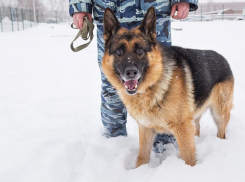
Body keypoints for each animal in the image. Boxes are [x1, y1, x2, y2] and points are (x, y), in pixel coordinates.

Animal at [101, 7, 234, 168]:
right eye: (119, 52)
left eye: (140, 51)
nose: (131, 72)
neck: (152, 85)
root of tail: (222, 58)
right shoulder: (146, 128)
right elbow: (142, 156)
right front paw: (139, 170)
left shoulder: (182, 128)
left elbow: (188, 157)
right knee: (197, 128)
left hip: (220, 113)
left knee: (221, 132)